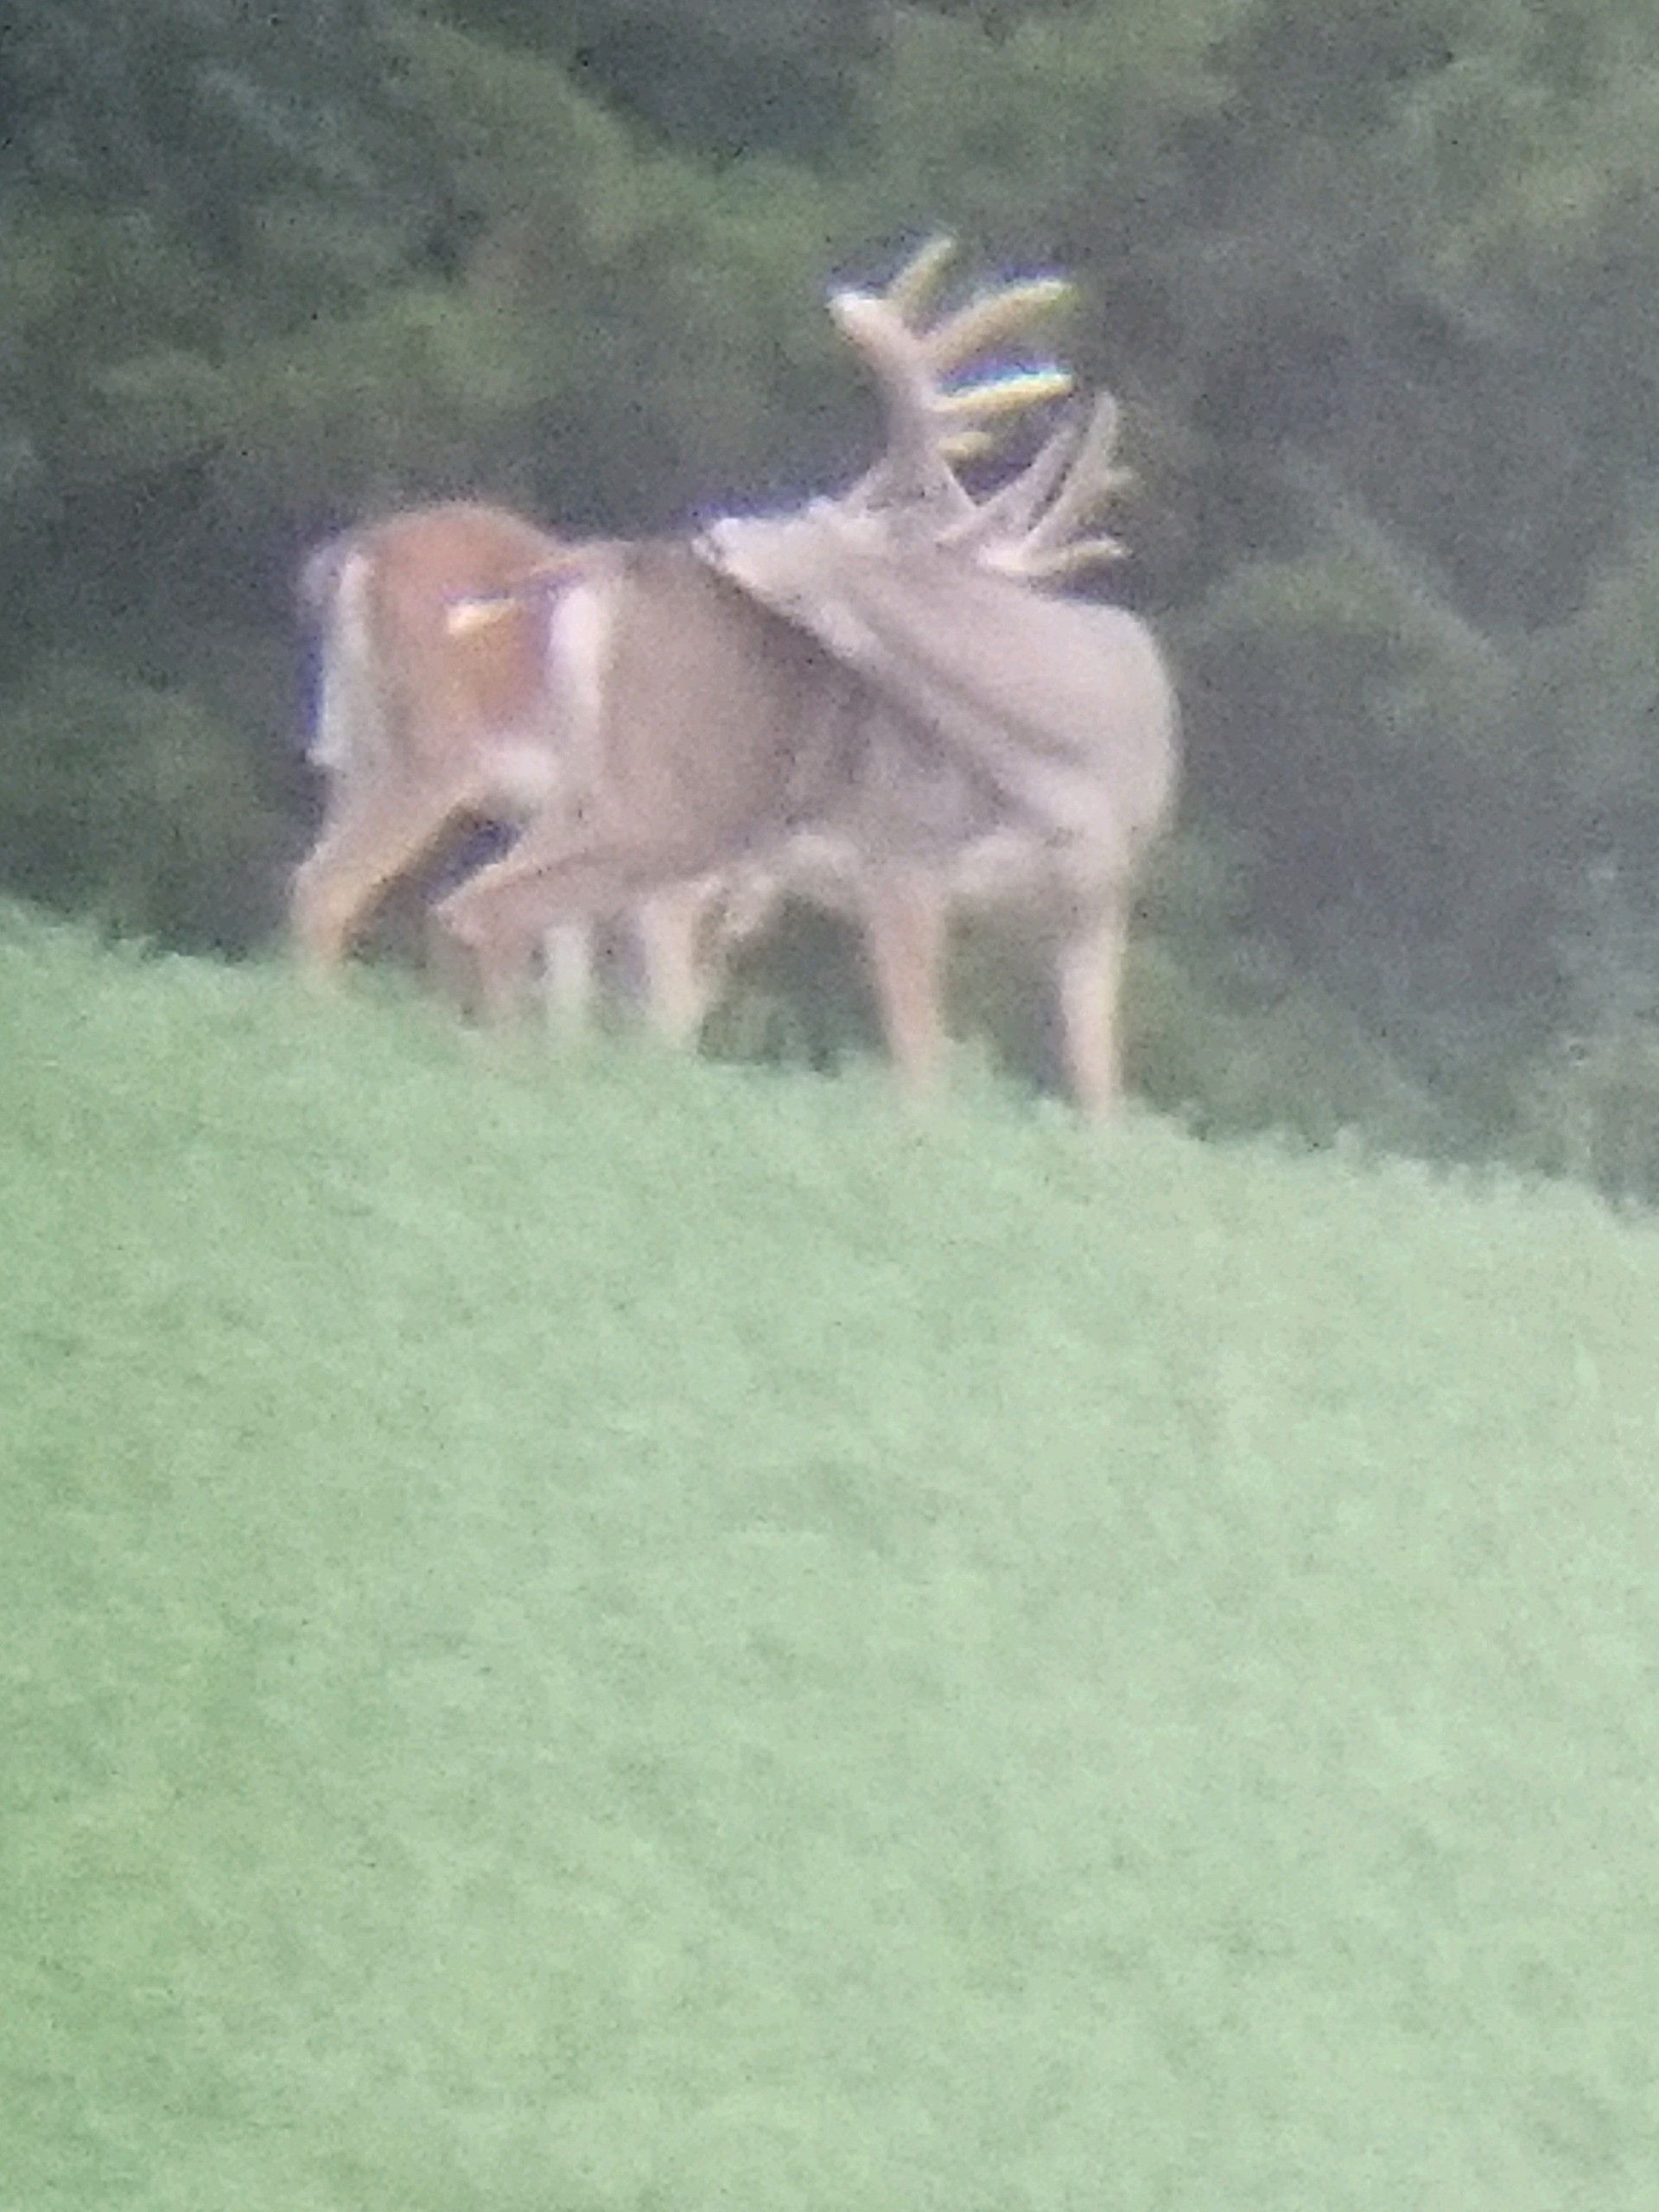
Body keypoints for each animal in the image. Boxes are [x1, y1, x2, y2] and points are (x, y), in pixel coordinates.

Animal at [431, 243, 1179, 1115]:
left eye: (810, 513)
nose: (714, 529)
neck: (1069, 754)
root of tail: (601, 567)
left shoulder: (1096, 898)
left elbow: (1099, 1094)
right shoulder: (900, 858)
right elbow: (920, 1070)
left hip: (593, 795)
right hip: (675, 814)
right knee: (538, 929)